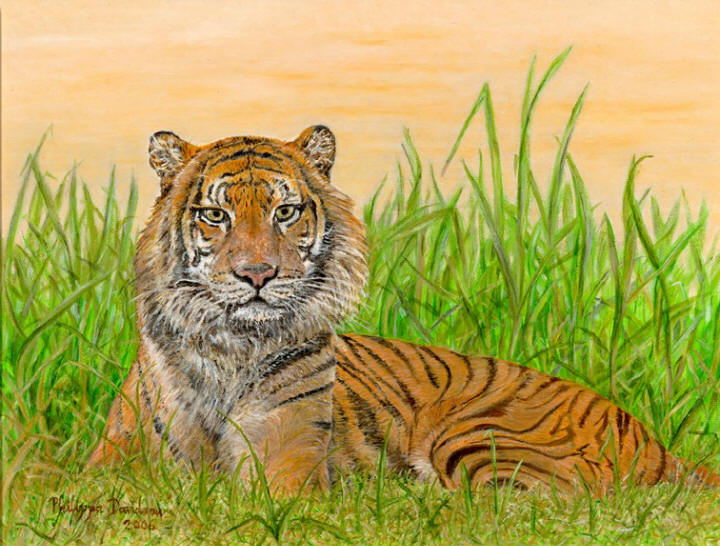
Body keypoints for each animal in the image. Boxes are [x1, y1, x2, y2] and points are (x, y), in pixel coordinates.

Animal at [87, 125, 719, 496]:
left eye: (286, 212)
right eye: (215, 216)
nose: (258, 274)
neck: (230, 348)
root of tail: (659, 443)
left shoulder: (287, 461)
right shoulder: (113, 464)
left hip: (486, 439)